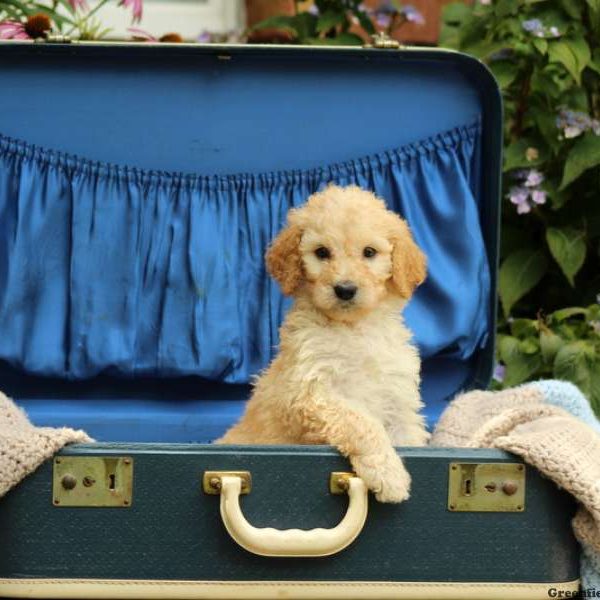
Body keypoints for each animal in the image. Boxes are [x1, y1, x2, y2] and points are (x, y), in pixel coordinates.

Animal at [218, 184, 428, 502]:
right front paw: (388, 474)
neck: (354, 329)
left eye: (369, 252)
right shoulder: (308, 394)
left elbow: (409, 435)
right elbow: (361, 421)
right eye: (321, 252)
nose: (345, 289)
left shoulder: (399, 399)